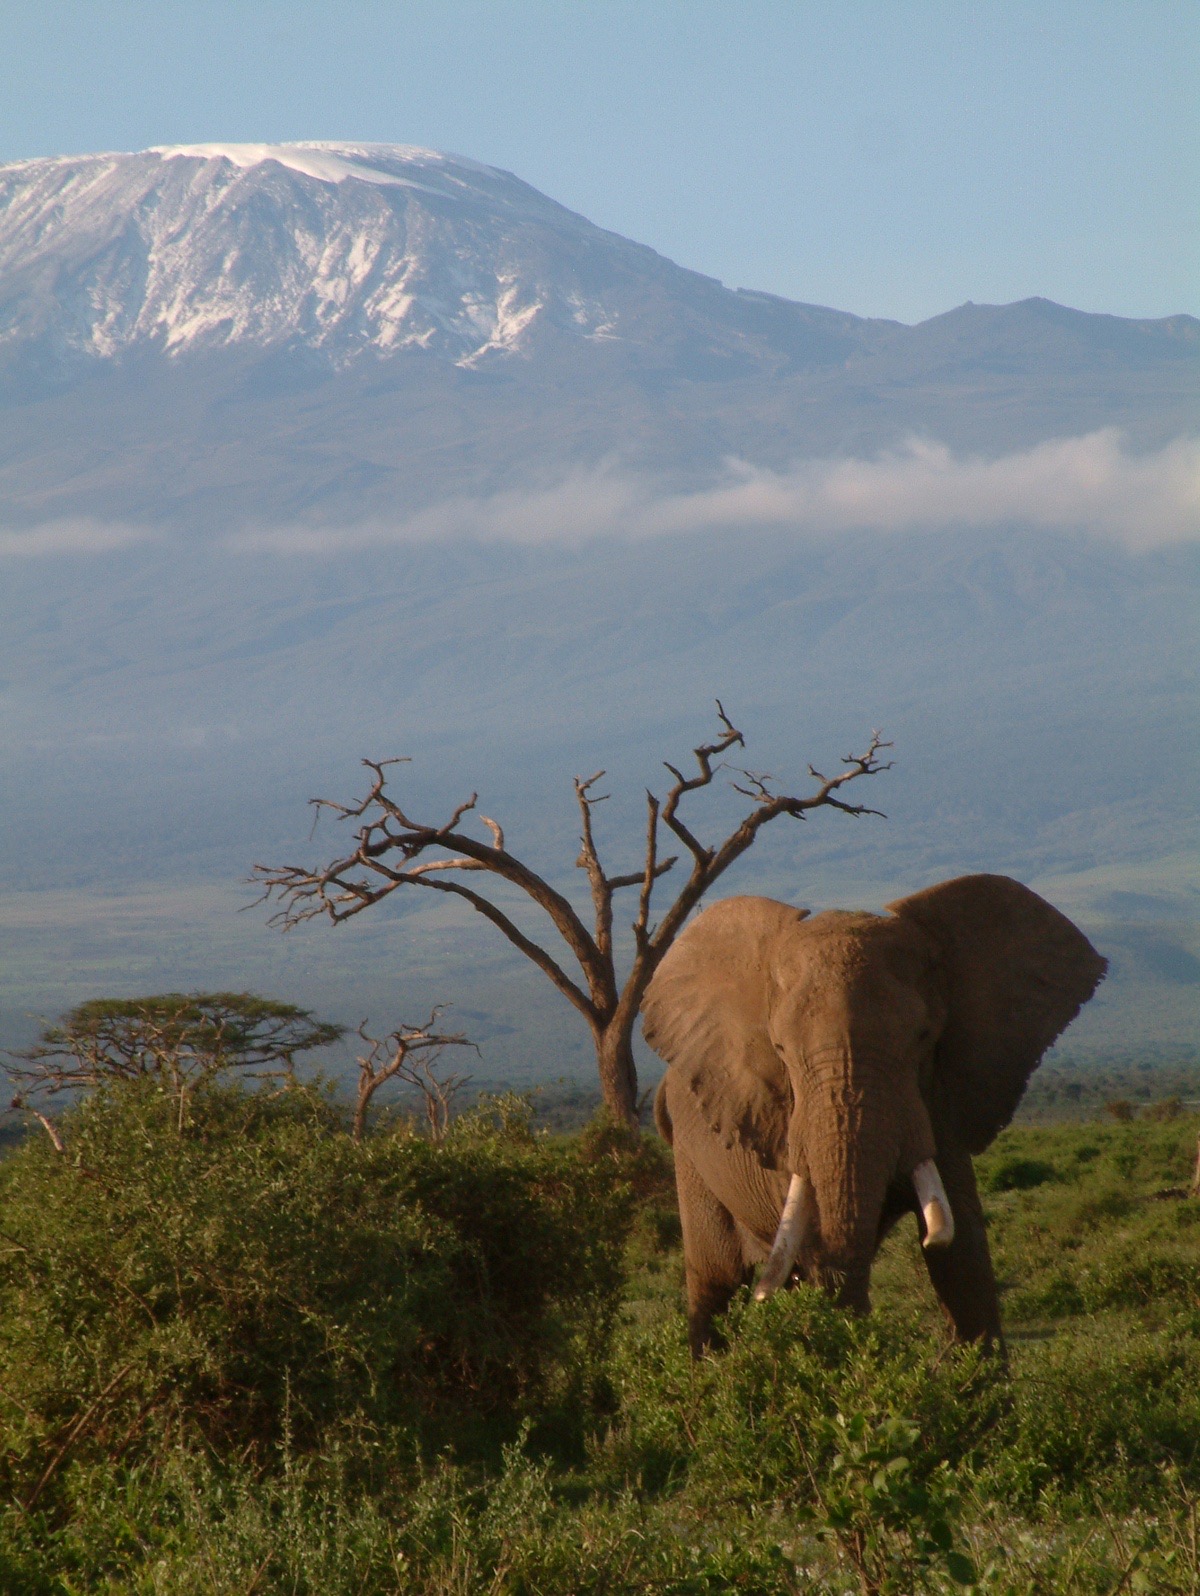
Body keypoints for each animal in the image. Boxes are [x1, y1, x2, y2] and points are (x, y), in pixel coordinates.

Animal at [641, 874, 1106, 1355]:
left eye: (924, 1037)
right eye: (781, 1050)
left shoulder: (942, 1100)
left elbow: (964, 1257)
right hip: (691, 1161)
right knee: (716, 1283)